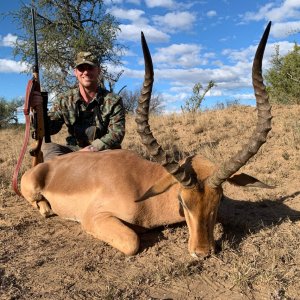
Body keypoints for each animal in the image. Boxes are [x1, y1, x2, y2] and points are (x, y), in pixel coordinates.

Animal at [20, 22, 272, 258]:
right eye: (182, 201)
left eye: (218, 199)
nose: (202, 252)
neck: (141, 185)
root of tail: (42, 167)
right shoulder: (94, 218)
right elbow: (132, 241)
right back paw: (46, 209)